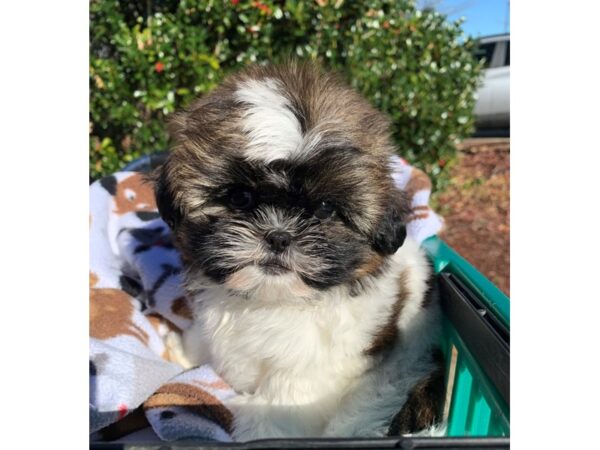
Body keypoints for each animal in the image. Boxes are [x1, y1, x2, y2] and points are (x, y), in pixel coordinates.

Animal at [152, 59, 442, 440]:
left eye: (324, 208)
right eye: (240, 197)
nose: (278, 236)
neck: (270, 300)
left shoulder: (315, 366)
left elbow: (285, 399)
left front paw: (257, 429)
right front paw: (187, 352)